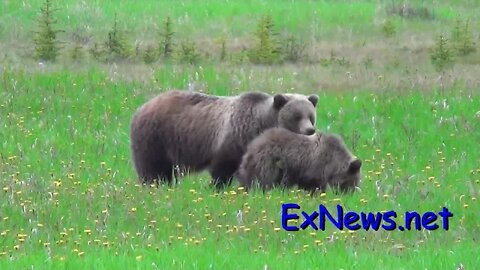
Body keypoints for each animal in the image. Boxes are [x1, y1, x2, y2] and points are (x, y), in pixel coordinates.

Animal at [130, 90, 318, 188]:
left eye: (310, 116)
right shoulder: (232, 141)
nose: (310, 130)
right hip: (155, 137)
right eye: (296, 116)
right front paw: (218, 187)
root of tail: (142, 106)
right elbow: (222, 169)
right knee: (152, 168)